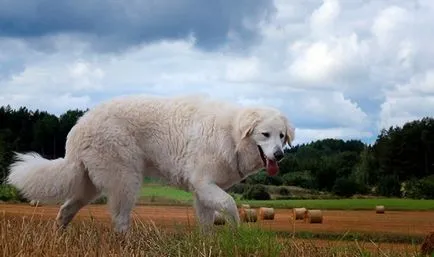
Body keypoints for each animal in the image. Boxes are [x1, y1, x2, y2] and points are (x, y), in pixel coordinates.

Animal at [7, 93, 294, 232]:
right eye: (265, 134)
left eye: (281, 136)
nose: (279, 155)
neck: (231, 134)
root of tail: (78, 128)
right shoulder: (204, 184)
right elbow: (230, 205)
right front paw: (237, 231)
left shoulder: (202, 191)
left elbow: (208, 222)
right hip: (126, 181)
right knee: (120, 221)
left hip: (90, 185)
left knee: (65, 211)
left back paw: (58, 237)